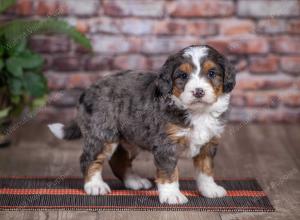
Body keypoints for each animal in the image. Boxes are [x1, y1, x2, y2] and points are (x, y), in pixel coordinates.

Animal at [49, 44, 236, 205]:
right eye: (183, 76)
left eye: (212, 73)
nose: (198, 91)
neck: (197, 112)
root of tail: (88, 89)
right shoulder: (166, 144)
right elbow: (169, 171)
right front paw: (172, 195)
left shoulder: (208, 143)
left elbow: (206, 169)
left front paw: (210, 189)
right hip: (102, 133)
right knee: (89, 158)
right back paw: (95, 185)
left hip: (131, 137)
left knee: (119, 160)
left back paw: (134, 181)